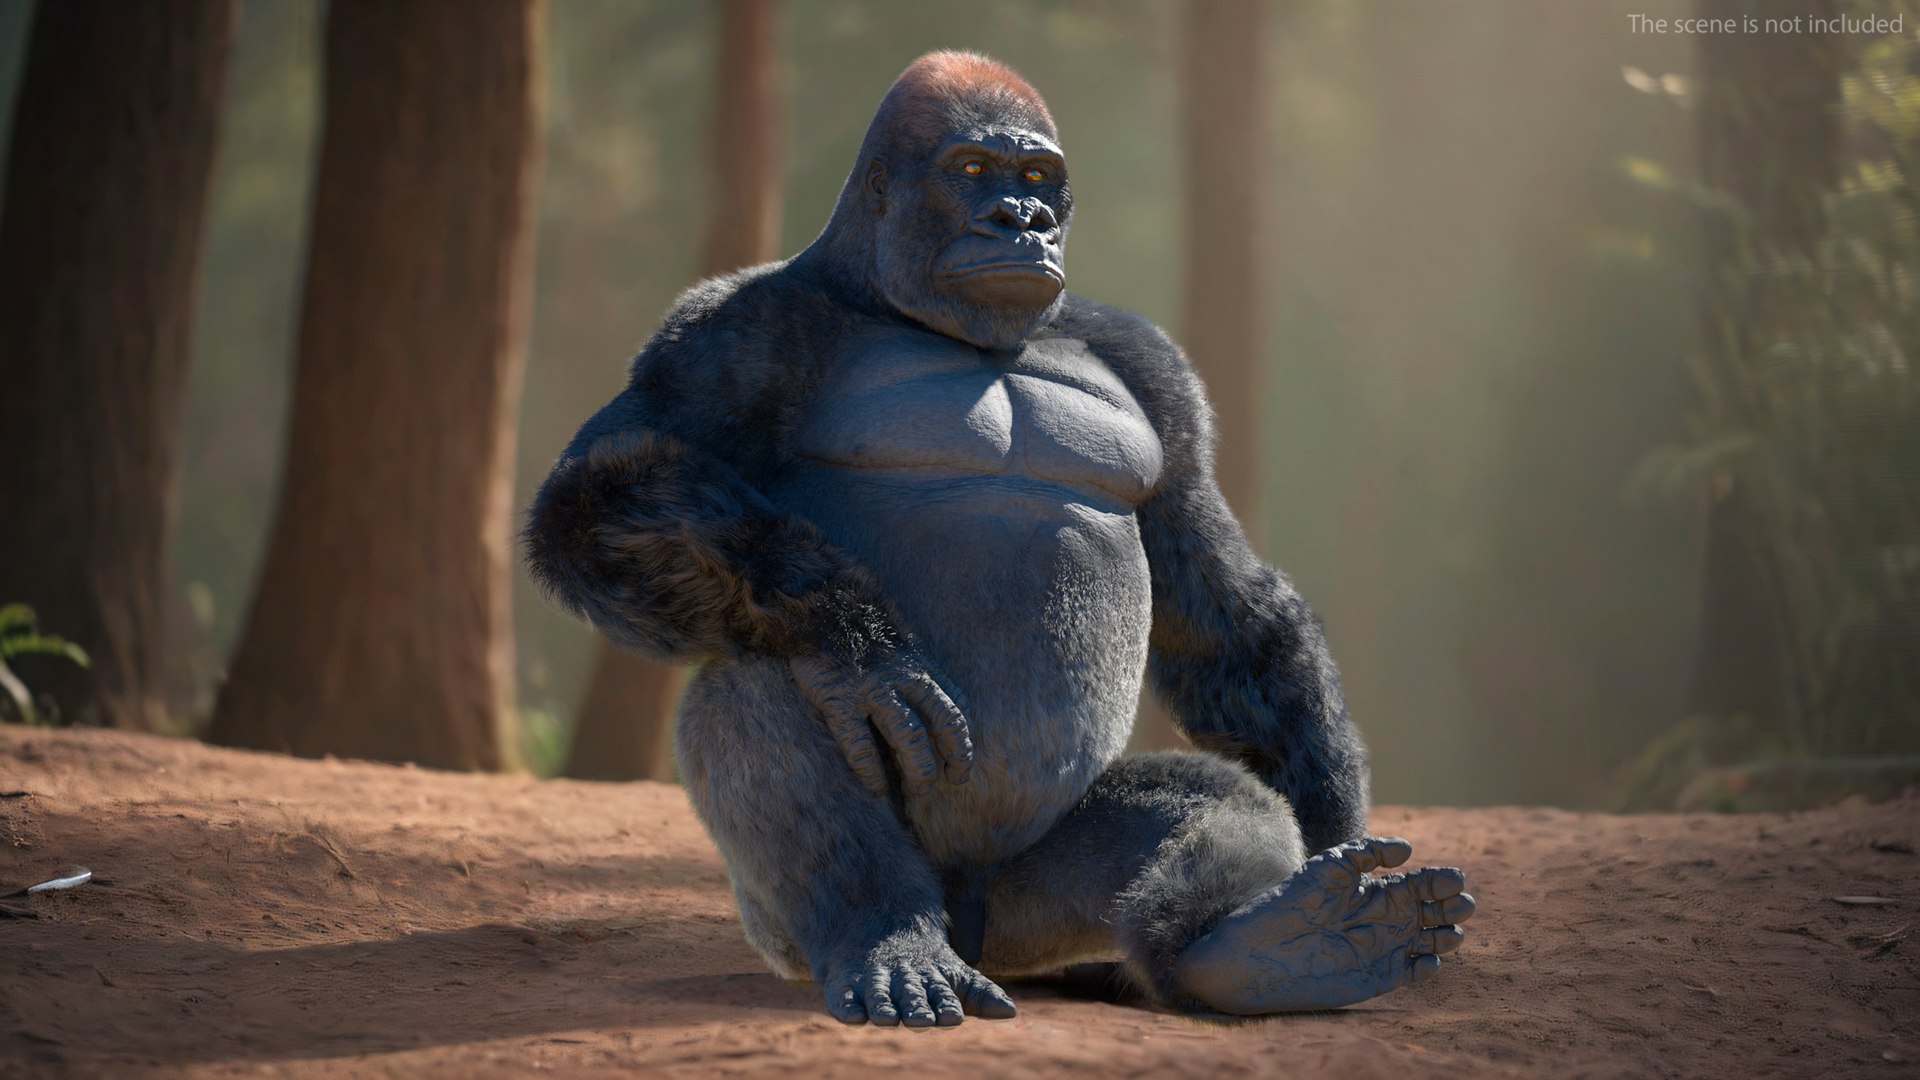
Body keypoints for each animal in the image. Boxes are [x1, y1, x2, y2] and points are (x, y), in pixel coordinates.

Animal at [526, 51, 1473, 1027]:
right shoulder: (728, 330)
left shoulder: (1148, 360)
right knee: (755, 683)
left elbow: (1224, 612)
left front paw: (1332, 825)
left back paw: (1260, 948)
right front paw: (855, 639)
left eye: (1038, 178)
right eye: (973, 169)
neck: (881, 293)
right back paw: (887, 930)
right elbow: (594, 499)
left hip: (1031, 908)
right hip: (791, 932)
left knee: (1205, 799)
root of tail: (976, 931)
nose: (1023, 221)